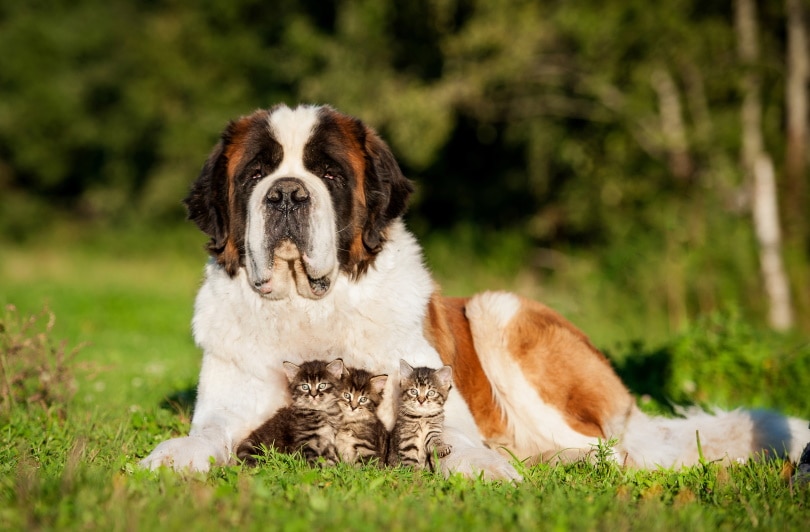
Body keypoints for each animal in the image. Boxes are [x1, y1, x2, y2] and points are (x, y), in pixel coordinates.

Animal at [140, 104, 808, 478]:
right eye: (256, 173)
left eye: (328, 173)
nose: (285, 194)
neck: (312, 309)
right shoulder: (231, 406)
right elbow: (206, 434)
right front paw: (172, 457)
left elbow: (457, 443)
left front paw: (486, 467)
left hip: (503, 313)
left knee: (613, 452)